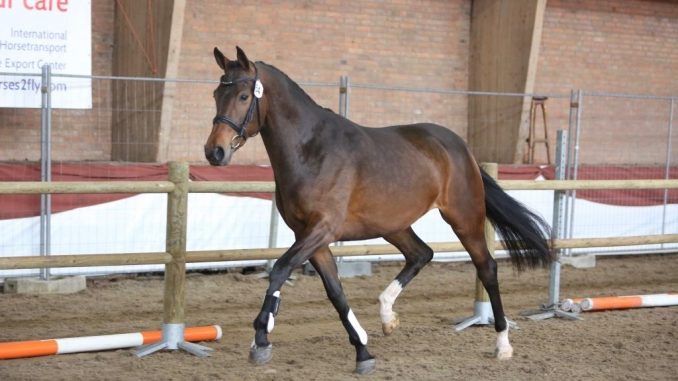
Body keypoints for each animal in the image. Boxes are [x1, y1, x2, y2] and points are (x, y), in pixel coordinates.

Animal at [205, 46, 556, 372]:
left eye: (243, 95)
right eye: (216, 93)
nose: (214, 152)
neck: (311, 150)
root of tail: (461, 147)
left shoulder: (321, 229)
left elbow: (279, 269)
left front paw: (261, 339)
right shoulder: (311, 237)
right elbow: (336, 293)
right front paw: (363, 351)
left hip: (464, 217)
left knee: (487, 268)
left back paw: (502, 344)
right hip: (394, 225)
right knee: (421, 254)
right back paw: (387, 316)